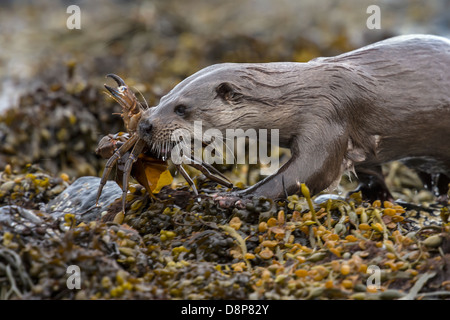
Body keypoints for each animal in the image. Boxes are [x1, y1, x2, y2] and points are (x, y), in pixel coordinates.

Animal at [137, 34, 450, 200]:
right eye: (162, 99)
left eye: (182, 108)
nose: (144, 124)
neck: (299, 96)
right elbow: (370, 174)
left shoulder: (326, 116)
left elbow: (310, 171)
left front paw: (238, 197)